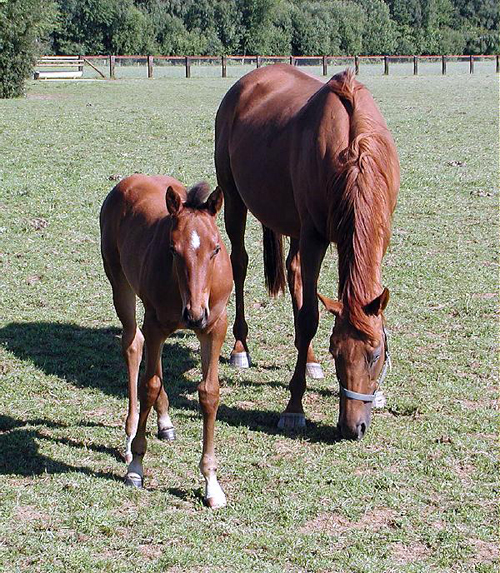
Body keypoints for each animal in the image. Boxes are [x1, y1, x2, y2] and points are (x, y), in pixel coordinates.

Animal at [100, 174, 232, 508]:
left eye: (216, 249)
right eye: (172, 249)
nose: (194, 315)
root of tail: (131, 180)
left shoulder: (215, 327)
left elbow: (209, 393)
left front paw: (212, 484)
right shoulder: (156, 324)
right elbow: (149, 385)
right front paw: (136, 467)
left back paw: (165, 422)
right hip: (120, 284)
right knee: (133, 345)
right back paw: (130, 435)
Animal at [215, 65, 399, 440]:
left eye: (375, 354)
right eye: (336, 351)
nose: (352, 427)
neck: (354, 151)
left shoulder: (377, 234)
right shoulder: (315, 236)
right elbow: (310, 317)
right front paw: (294, 407)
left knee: (294, 270)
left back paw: (308, 358)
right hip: (234, 200)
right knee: (239, 264)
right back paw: (241, 347)